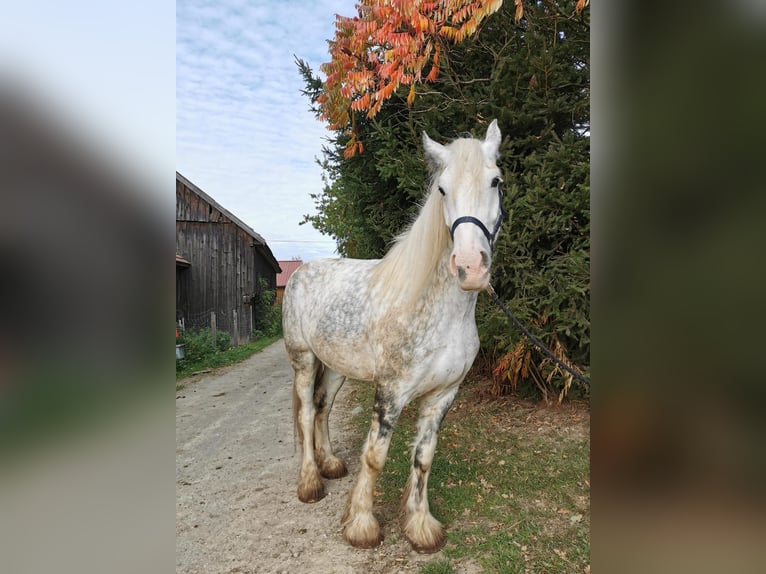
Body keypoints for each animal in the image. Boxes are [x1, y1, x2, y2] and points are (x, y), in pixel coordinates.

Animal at [282, 120, 505, 553]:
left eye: (495, 181)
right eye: (442, 190)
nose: (470, 267)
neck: (434, 308)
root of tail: (301, 271)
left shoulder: (442, 396)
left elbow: (423, 457)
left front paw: (420, 527)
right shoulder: (391, 391)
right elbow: (375, 456)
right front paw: (362, 526)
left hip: (337, 368)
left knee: (322, 408)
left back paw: (331, 465)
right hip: (304, 361)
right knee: (305, 413)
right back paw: (310, 483)